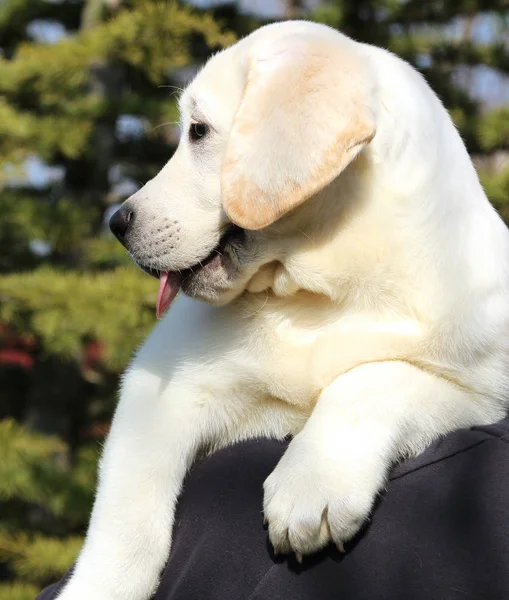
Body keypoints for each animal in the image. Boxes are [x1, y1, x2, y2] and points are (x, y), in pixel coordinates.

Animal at [57, 19, 508, 600]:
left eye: (198, 131)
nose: (117, 223)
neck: (315, 296)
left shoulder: (482, 388)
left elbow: (374, 377)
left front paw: (312, 482)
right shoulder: (158, 387)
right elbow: (124, 515)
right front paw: (99, 584)